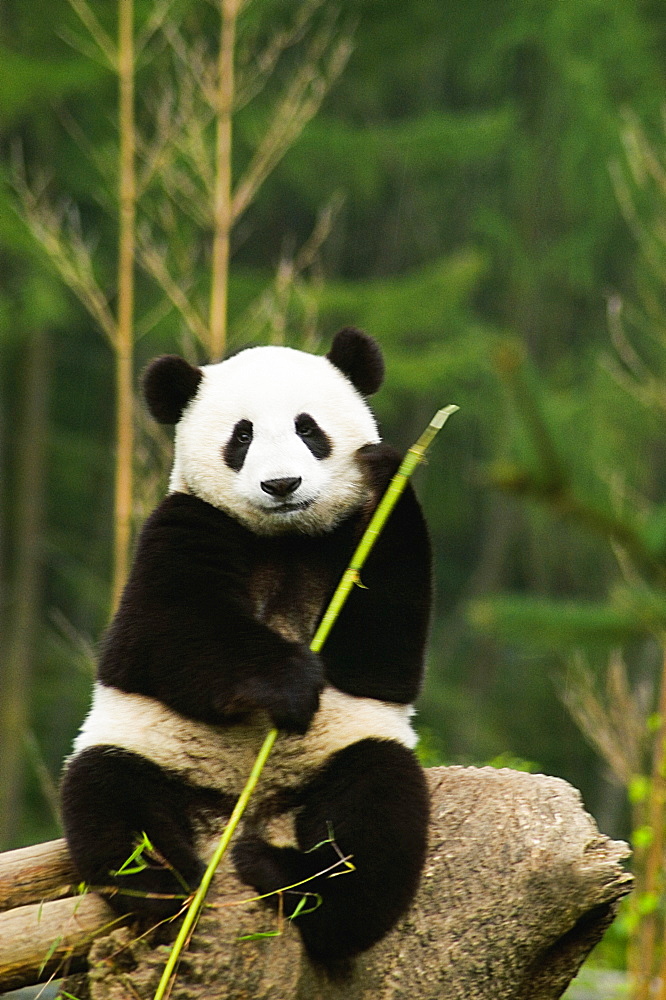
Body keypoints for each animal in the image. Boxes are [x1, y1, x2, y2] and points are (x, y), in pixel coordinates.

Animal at [62, 328, 430, 968]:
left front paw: (386, 473)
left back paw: (293, 882)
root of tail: (244, 815)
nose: (281, 486)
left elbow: (381, 660)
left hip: (341, 755)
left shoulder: (355, 544)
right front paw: (289, 683)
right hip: (150, 750)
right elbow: (166, 634)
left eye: (309, 429)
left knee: (379, 815)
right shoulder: (185, 523)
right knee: (109, 798)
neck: (282, 538)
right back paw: (168, 885)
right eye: (242, 436)